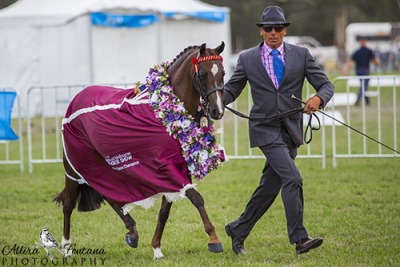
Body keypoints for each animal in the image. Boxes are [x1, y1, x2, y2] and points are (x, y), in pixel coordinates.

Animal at [53, 42, 227, 260]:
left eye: (223, 73)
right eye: (203, 74)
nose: (217, 111)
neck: (164, 113)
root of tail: (76, 99)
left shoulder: (178, 168)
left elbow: (165, 210)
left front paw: (157, 248)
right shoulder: (164, 168)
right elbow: (196, 198)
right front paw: (214, 239)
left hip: (102, 165)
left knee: (107, 193)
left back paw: (132, 231)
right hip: (74, 167)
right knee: (68, 204)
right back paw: (67, 248)